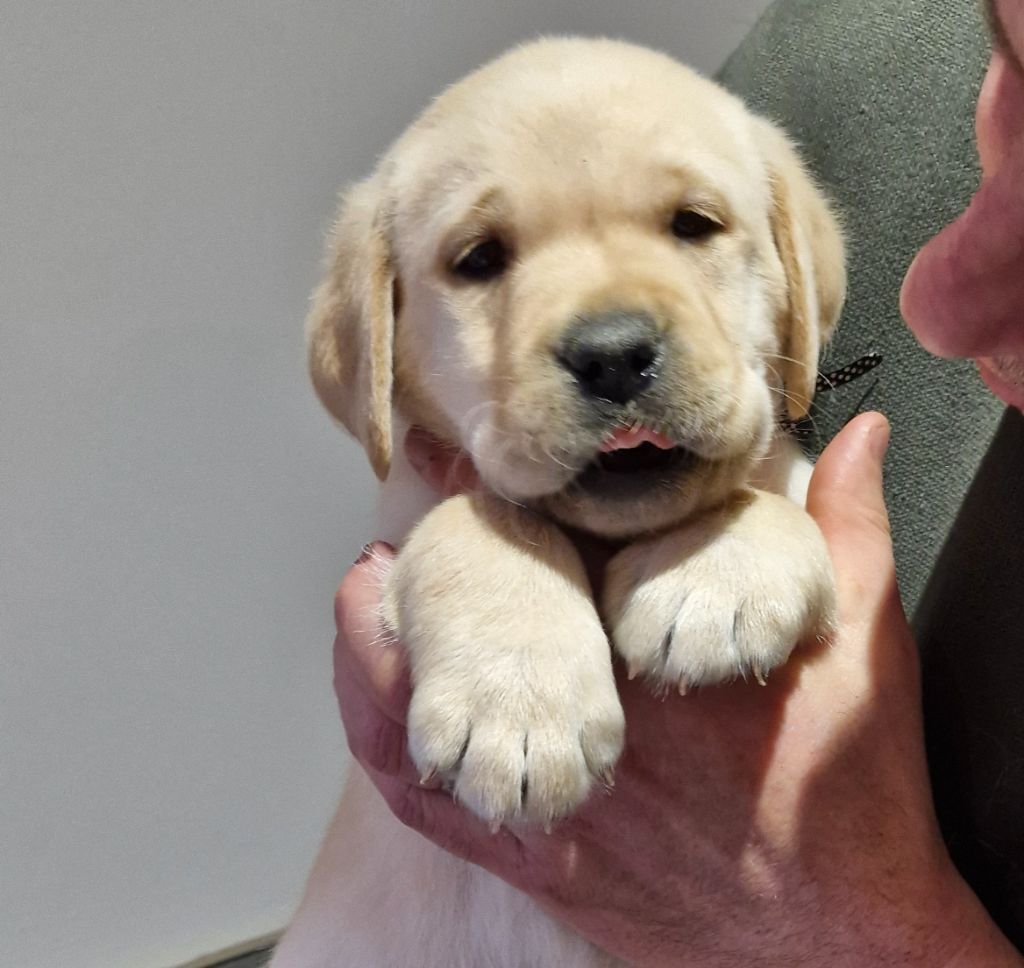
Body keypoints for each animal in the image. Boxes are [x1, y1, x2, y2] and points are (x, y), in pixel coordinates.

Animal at [272, 35, 839, 966]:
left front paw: (716, 570)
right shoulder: (411, 514)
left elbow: (769, 484)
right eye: (479, 260)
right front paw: (520, 705)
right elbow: (482, 517)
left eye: (694, 224)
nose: (612, 354)